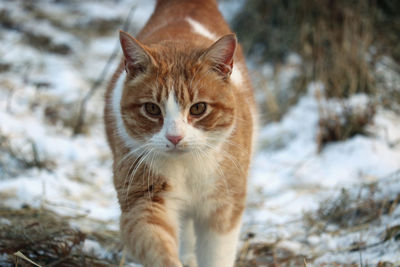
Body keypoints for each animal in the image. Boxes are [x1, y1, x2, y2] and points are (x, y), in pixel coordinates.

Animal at [104, 0, 256, 267]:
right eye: (152, 109)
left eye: (198, 108)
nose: (175, 137)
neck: (187, 167)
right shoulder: (144, 201)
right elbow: (157, 244)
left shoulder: (223, 207)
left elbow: (216, 256)